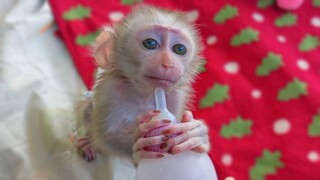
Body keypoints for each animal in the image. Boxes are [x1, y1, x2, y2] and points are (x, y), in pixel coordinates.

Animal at [77, 5, 210, 165]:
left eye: (179, 49)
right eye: (150, 43)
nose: (168, 64)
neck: (145, 94)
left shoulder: (176, 96)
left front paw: (196, 134)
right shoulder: (109, 91)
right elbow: (106, 137)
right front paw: (139, 144)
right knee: (87, 112)